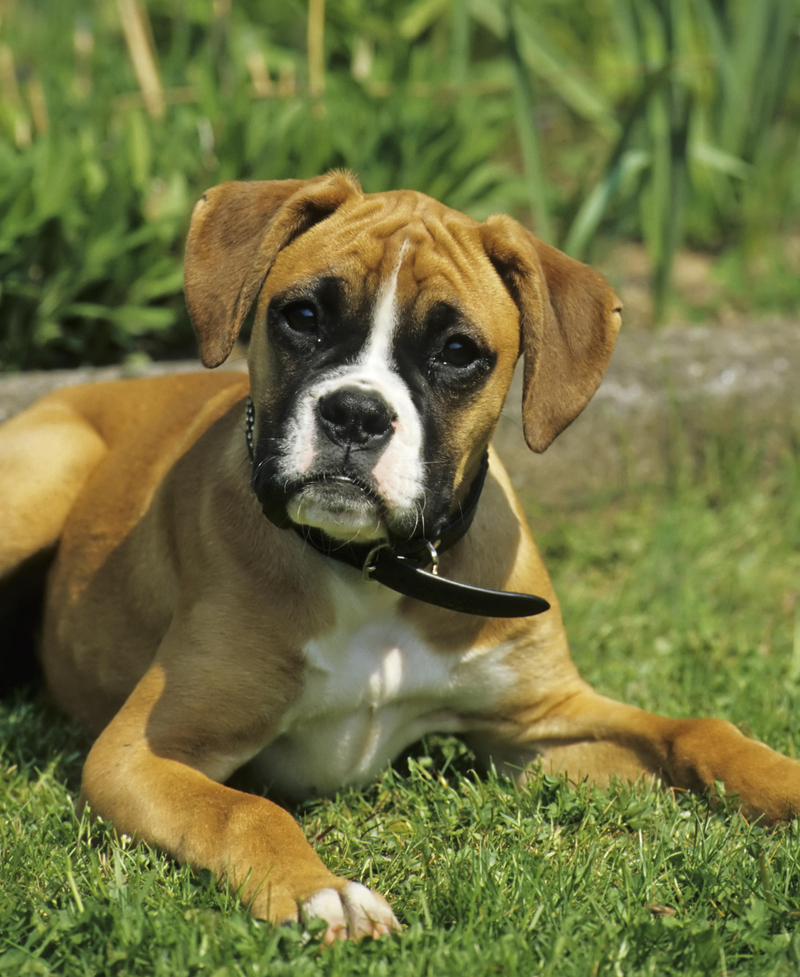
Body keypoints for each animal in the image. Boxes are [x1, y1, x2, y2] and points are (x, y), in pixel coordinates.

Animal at [1, 172, 800, 940]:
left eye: (458, 353)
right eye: (302, 316)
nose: (355, 414)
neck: (372, 569)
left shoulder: (541, 723)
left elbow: (698, 728)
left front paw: (784, 783)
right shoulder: (138, 754)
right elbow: (243, 809)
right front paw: (321, 893)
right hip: (44, 479)